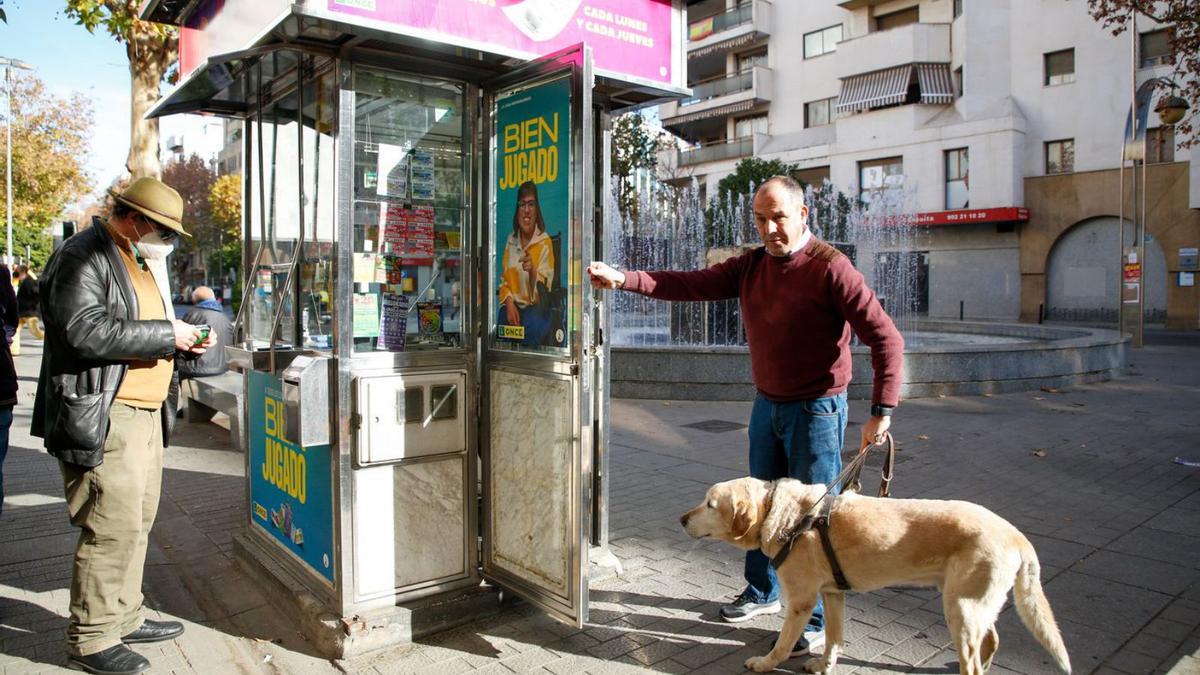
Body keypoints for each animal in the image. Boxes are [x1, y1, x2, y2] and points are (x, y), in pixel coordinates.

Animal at [681, 475, 1075, 667]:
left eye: (710, 504)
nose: (682, 519)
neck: (788, 516)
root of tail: (1017, 536)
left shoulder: (802, 601)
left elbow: (783, 644)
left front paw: (765, 663)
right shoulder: (832, 594)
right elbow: (834, 639)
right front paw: (824, 666)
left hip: (961, 607)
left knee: (975, 656)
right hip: (972, 604)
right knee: (991, 640)